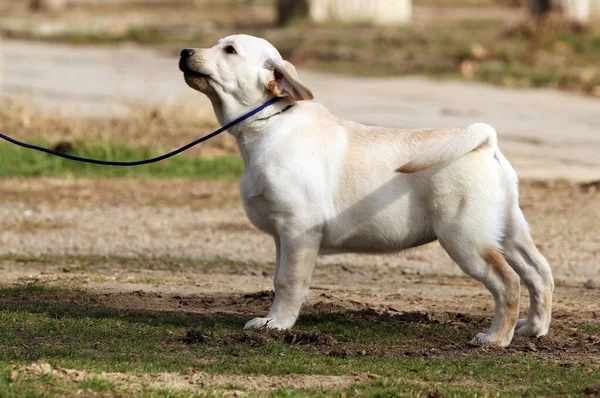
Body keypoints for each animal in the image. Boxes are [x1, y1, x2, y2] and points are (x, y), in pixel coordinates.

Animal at [178, 34, 552, 346]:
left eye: (230, 50)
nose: (185, 52)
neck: (269, 124)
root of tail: (485, 144)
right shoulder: (282, 236)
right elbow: (277, 279)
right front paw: (274, 321)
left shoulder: (298, 231)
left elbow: (287, 282)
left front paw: (276, 325)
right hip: (509, 231)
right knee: (539, 273)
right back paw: (534, 328)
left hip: (465, 238)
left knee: (508, 282)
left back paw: (495, 338)